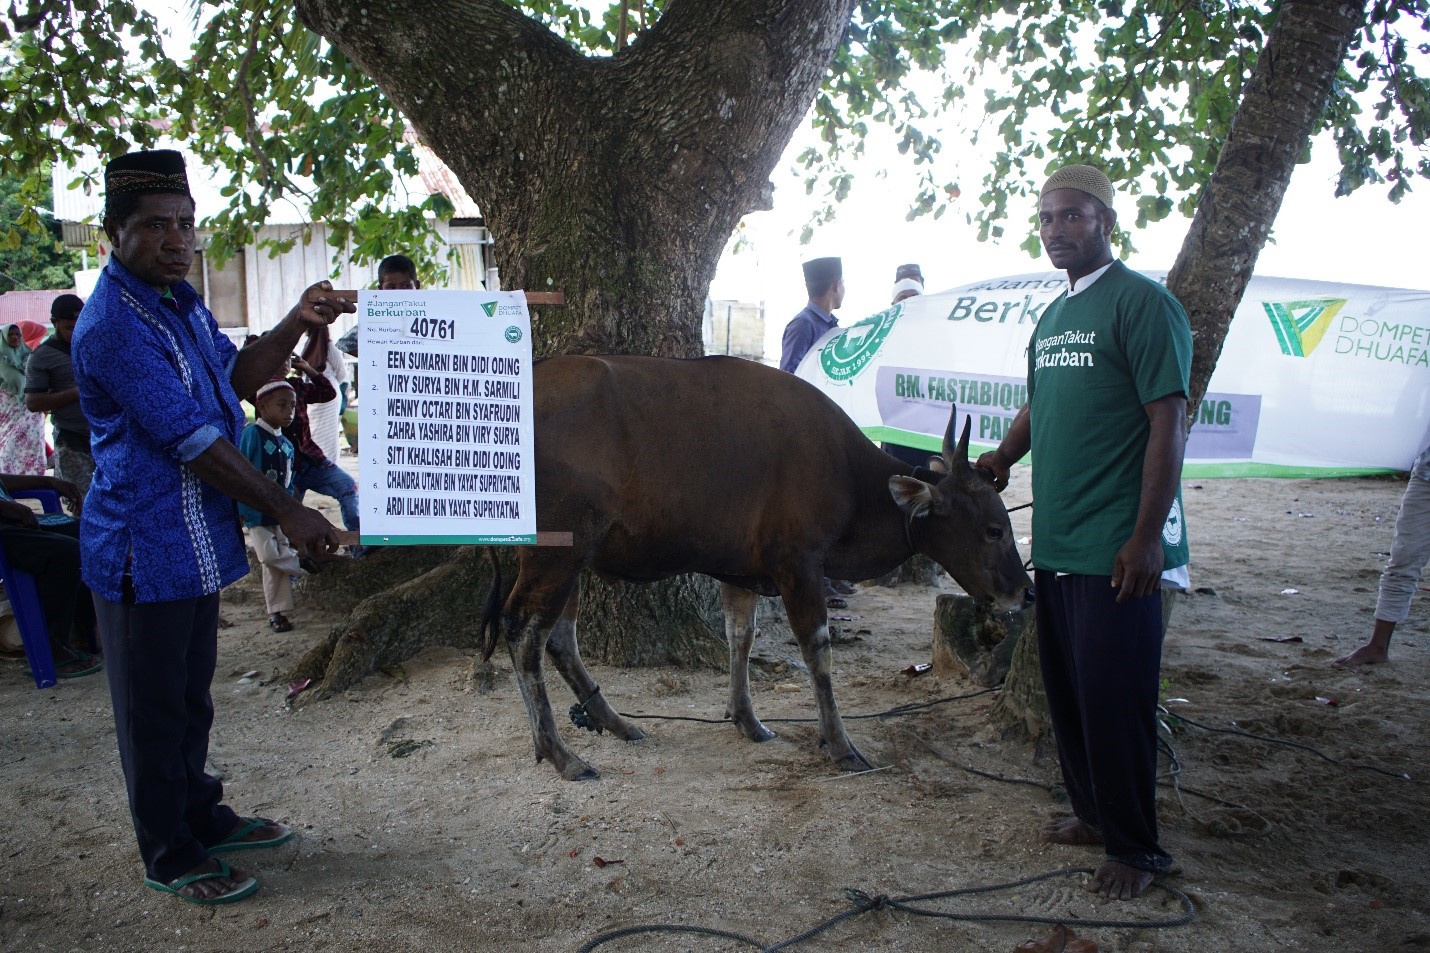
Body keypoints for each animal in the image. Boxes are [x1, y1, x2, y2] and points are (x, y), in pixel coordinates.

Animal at [480, 352, 1029, 778]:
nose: (1024, 591)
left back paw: (614, 722)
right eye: (994, 529)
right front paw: (840, 743)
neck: (849, 477)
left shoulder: (740, 572)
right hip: (558, 549)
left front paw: (747, 719)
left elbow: (739, 637)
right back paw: (558, 752)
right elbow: (817, 650)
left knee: (558, 636)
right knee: (522, 629)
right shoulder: (800, 563)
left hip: (575, 557)